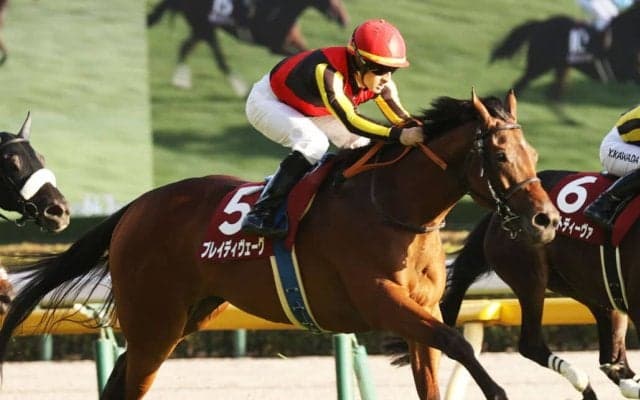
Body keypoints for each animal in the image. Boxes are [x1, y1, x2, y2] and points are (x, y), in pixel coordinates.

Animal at [0, 90, 560, 400]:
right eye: (502, 156)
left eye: (534, 153)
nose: (546, 218)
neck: (394, 206)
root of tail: (136, 207)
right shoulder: (383, 302)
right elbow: (459, 342)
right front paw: (499, 391)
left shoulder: (418, 309)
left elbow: (437, 362)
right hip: (154, 321)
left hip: (184, 317)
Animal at [146, 0, 349, 95]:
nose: (344, 19)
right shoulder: (275, 45)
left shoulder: (292, 41)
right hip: (204, 27)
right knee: (219, 59)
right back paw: (240, 88)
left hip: (201, 28)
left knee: (185, 46)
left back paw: (180, 81)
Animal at [439, 169, 640, 400]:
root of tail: (497, 213)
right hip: (530, 277)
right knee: (531, 344)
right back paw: (583, 382)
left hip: (593, 290)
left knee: (612, 361)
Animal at [489, 3, 640, 100]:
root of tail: (540, 24)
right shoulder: (626, 73)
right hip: (539, 65)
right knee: (521, 86)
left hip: (560, 67)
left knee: (552, 95)